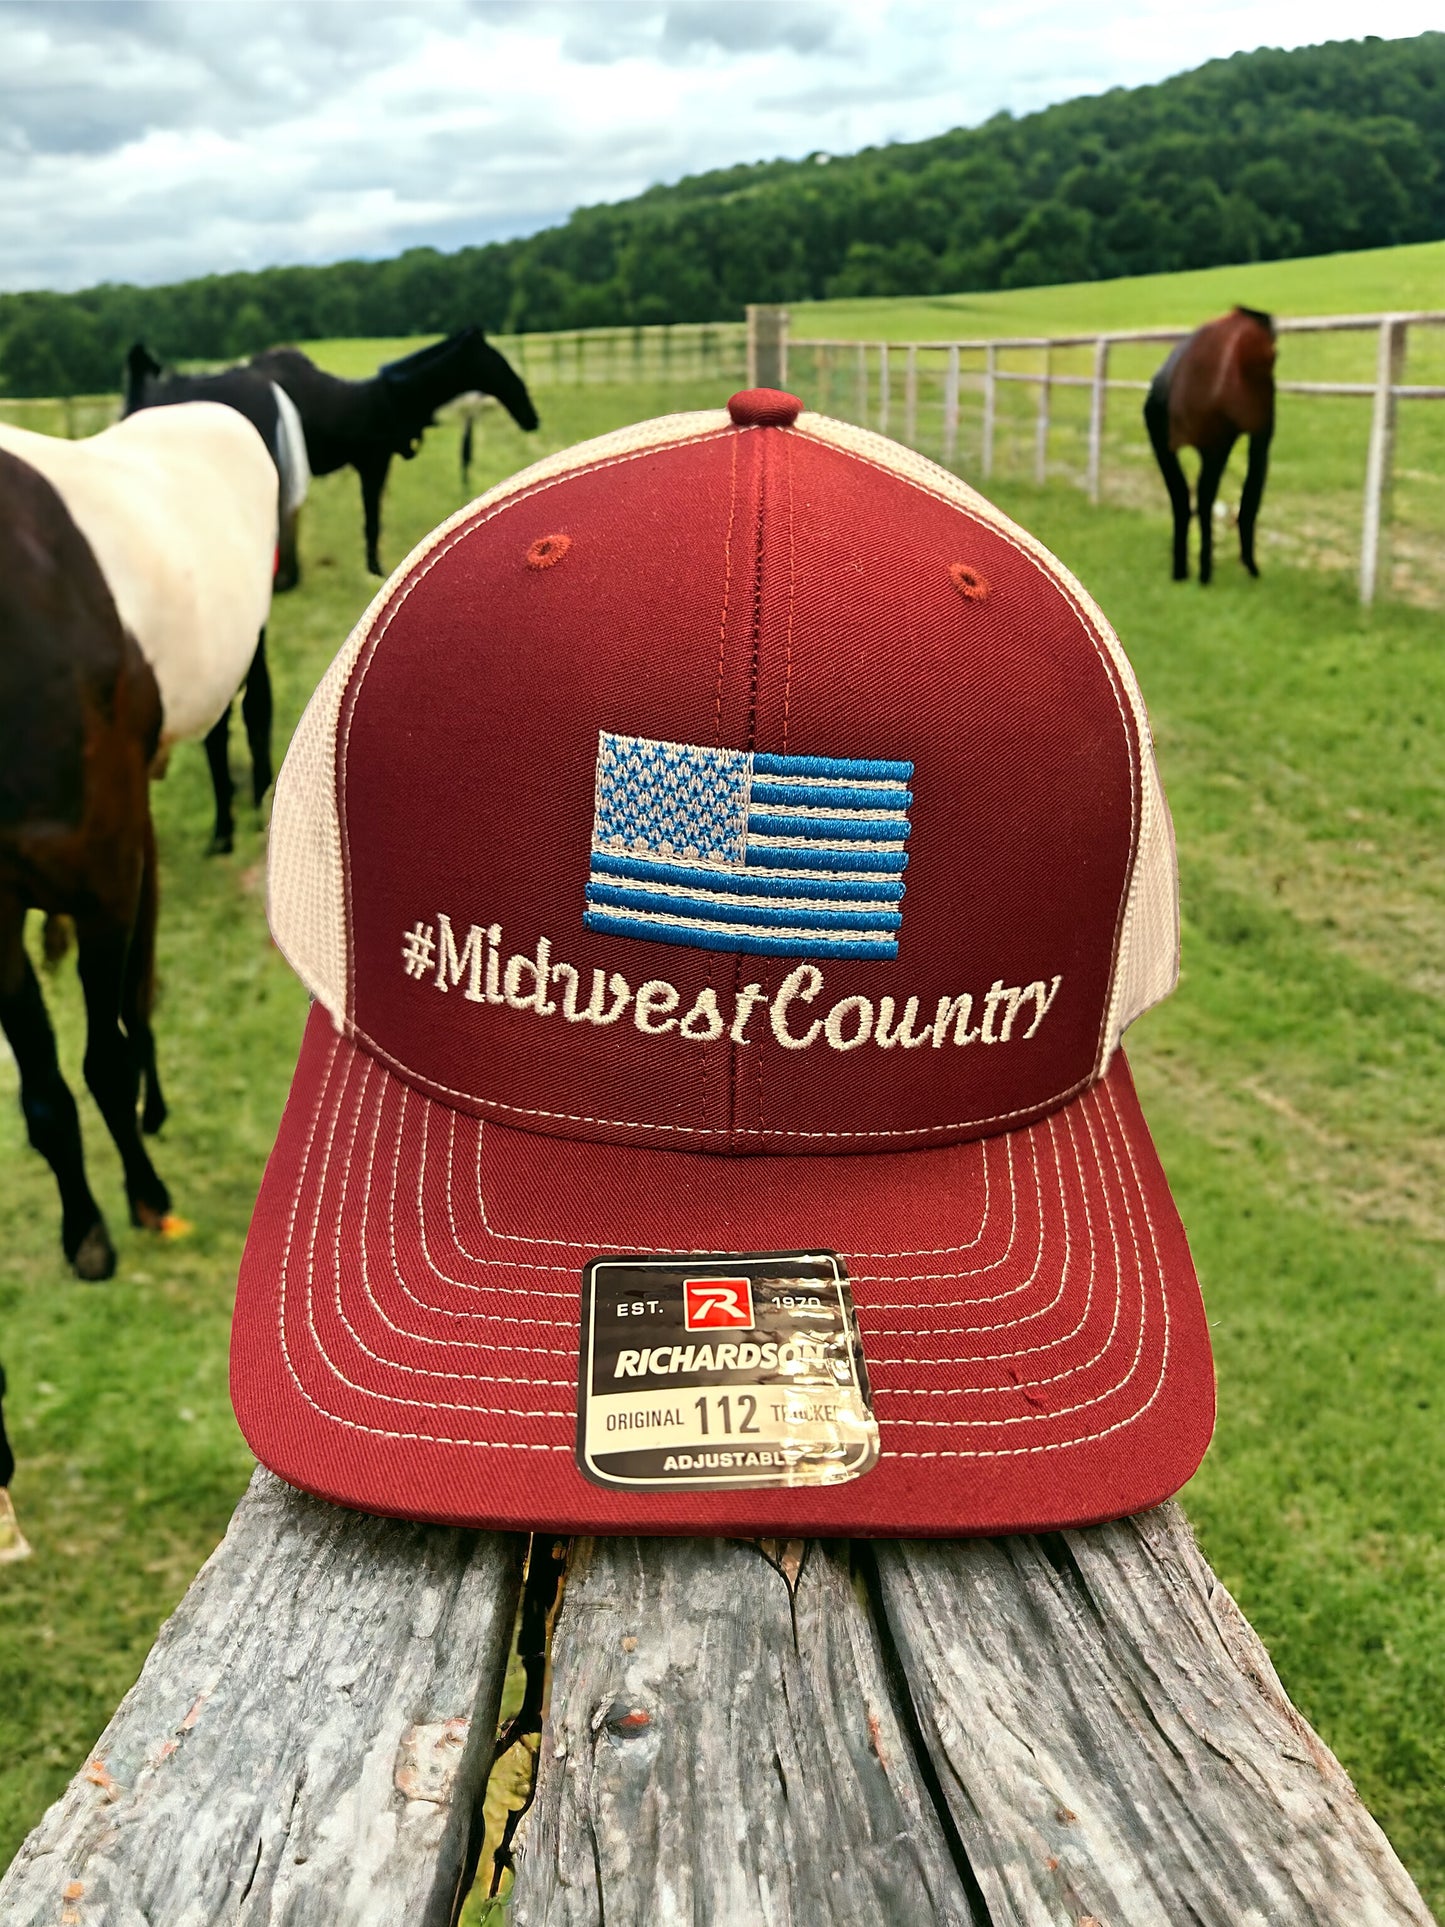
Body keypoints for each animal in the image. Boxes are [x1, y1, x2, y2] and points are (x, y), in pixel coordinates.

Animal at [252, 327, 539, 570]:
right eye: (496, 363)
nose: (531, 417)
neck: (395, 400)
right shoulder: (373, 464)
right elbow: (372, 519)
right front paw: (375, 569)